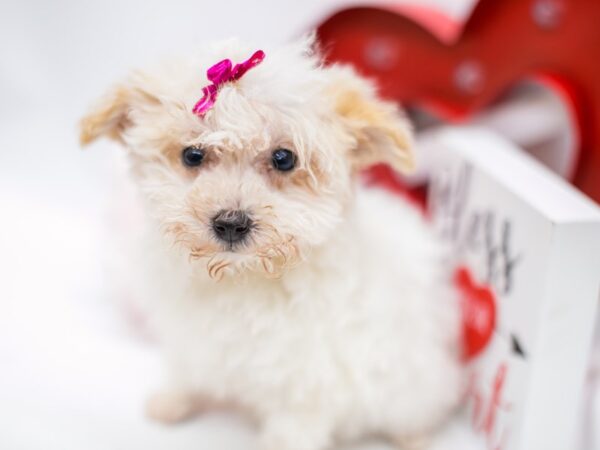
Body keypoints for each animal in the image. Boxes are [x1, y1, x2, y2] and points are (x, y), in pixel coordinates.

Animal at [81, 36, 464, 450]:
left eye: (284, 159)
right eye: (192, 154)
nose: (231, 224)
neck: (242, 280)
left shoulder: (309, 385)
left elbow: (291, 430)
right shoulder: (192, 338)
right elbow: (188, 369)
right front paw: (174, 399)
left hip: (415, 382)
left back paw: (415, 437)